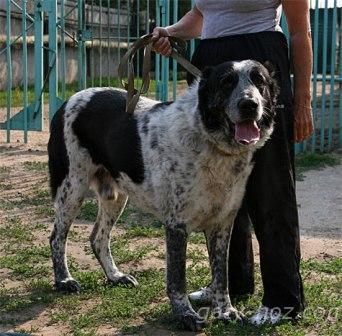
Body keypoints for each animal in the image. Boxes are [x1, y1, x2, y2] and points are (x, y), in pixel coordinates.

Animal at [47, 59, 278, 330]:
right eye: (226, 82)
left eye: (259, 81)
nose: (249, 105)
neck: (210, 142)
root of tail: (68, 101)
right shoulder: (177, 225)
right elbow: (178, 279)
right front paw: (186, 315)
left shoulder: (222, 224)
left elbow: (221, 276)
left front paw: (226, 311)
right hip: (72, 187)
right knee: (57, 238)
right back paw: (64, 280)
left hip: (115, 196)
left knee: (98, 238)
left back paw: (115, 276)